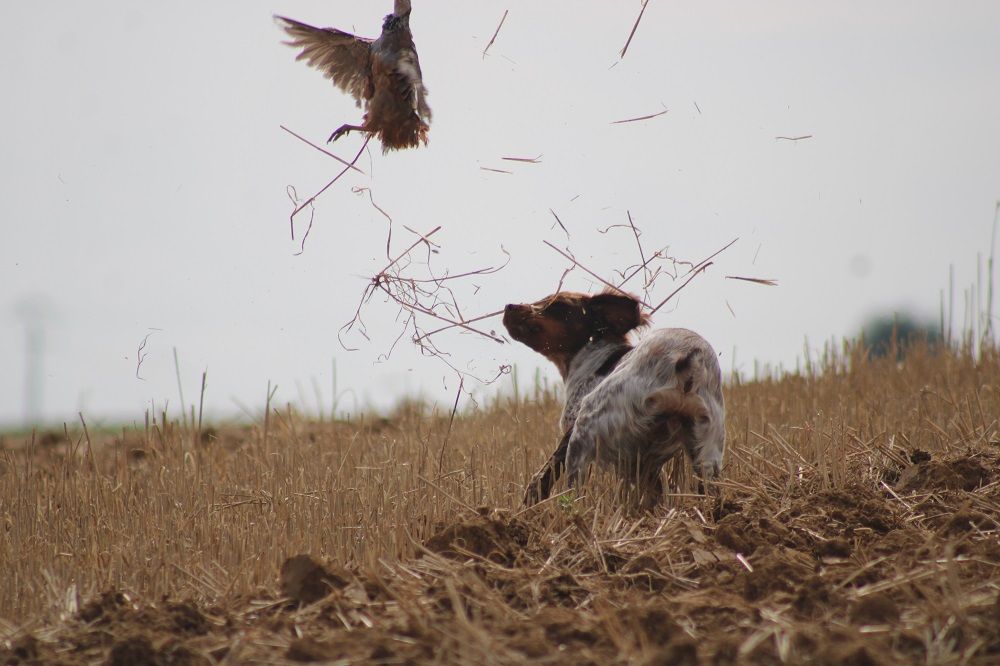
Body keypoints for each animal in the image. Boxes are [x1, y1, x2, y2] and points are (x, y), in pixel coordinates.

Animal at [504, 290, 724, 504]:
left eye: (558, 304)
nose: (509, 306)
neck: (592, 357)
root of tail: (684, 361)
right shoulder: (643, 463)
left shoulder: (572, 430)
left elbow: (543, 476)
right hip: (706, 454)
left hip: (585, 429)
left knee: (574, 494)